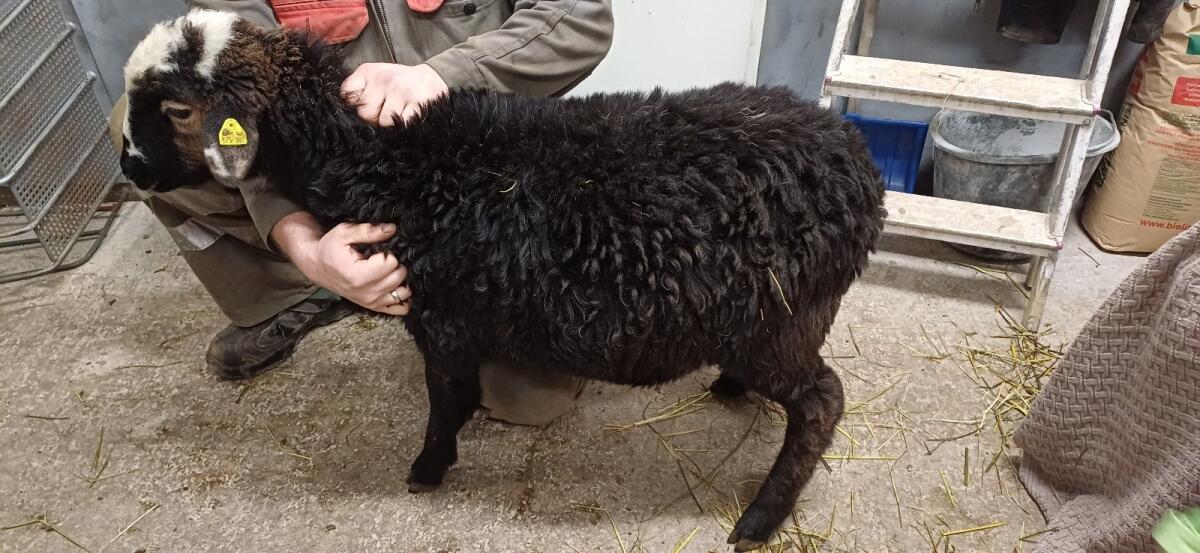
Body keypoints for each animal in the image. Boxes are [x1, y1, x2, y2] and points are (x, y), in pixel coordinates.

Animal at [119, 11, 886, 550]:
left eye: (178, 110)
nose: (129, 168)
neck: (390, 159)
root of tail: (857, 162)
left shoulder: (441, 319)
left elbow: (446, 396)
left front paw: (427, 468)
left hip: (780, 323)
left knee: (822, 402)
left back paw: (759, 518)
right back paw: (727, 389)